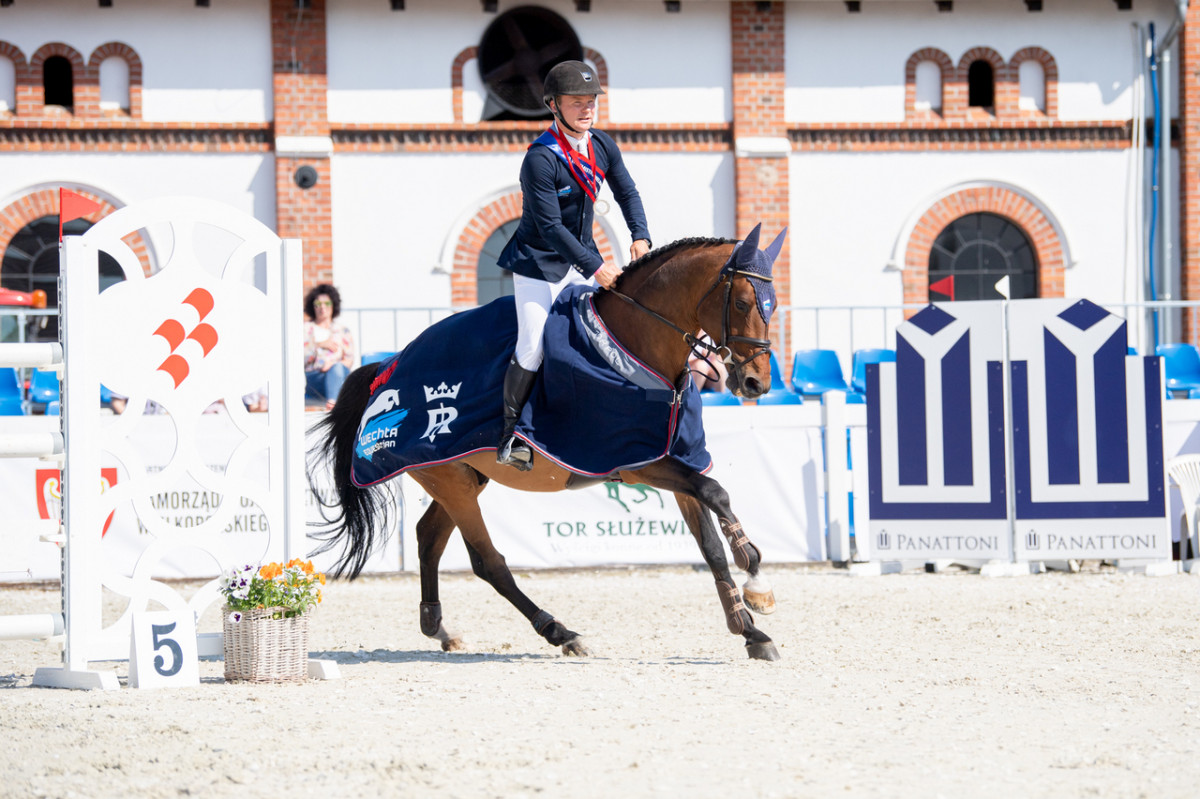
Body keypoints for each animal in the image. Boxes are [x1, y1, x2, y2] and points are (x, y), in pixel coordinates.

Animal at [312, 221, 787, 657]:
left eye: (773, 304)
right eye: (742, 302)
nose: (756, 383)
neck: (640, 348)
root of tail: (387, 366)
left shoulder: (677, 457)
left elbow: (710, 544)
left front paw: (751, 631)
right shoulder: (639, 462)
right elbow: (717, 491)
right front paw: (756, 577)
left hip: (459, 475)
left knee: (430, 538)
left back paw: (440, 629)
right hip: (448, 479)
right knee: (489, 562)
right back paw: (560, 632)